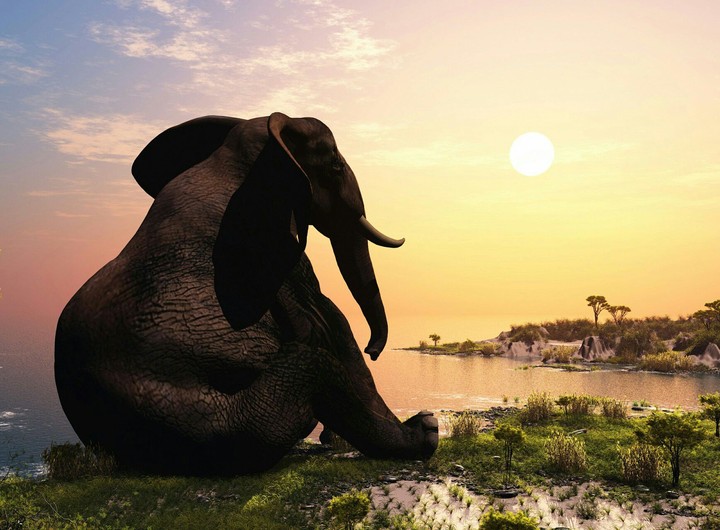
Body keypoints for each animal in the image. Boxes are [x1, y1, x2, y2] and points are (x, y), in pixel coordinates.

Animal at [54, 113, 438, 475]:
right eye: (335, 166)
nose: (374, 351)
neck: (235, 154)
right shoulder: (276, 253)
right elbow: (331, 325)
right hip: (230, 423)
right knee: (314, 365)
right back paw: (426, 430)